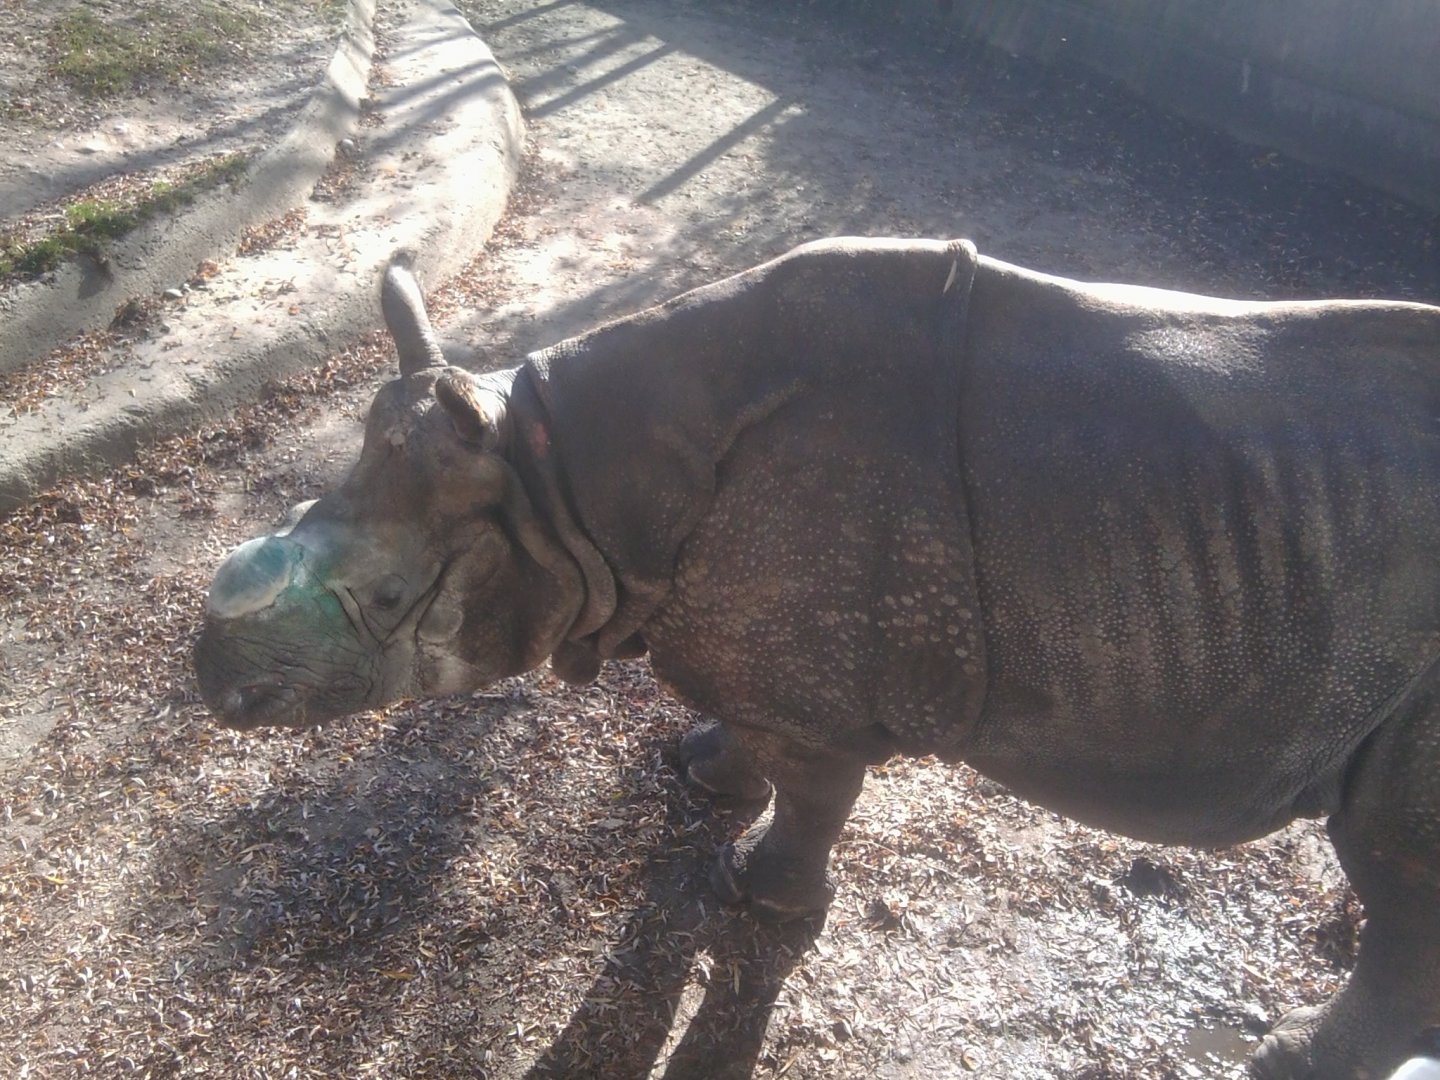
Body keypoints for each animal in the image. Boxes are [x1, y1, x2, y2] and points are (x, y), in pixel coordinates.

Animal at [194, 238, 1440, 1079]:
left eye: (394, 602)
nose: (211, 681)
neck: (561, 487)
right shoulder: (752, 644)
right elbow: (747, 738)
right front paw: (702, 773)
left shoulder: (822, 687)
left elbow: (813, 795)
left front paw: (760, 899)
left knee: (1395, 870)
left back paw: (1287, 1059)